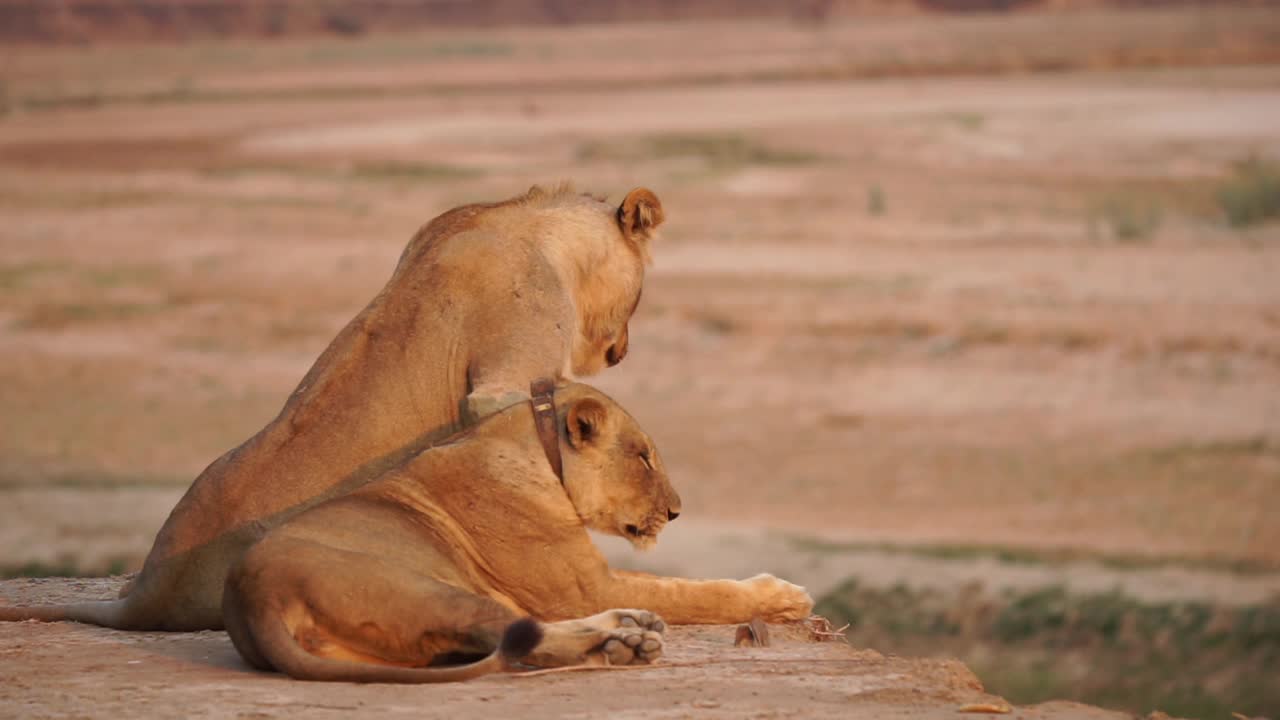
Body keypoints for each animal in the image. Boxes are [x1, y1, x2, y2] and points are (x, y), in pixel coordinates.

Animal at [218, 379, 808, 681]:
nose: (677, 512)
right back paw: (629, 646)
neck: (537, 449)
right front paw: (782, 595)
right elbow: (697, 591)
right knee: (521, 641)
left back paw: (629, 627)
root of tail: (254, 599)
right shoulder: (585, 585)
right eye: (642, 457)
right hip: (428, 590)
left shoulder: (584, 586)